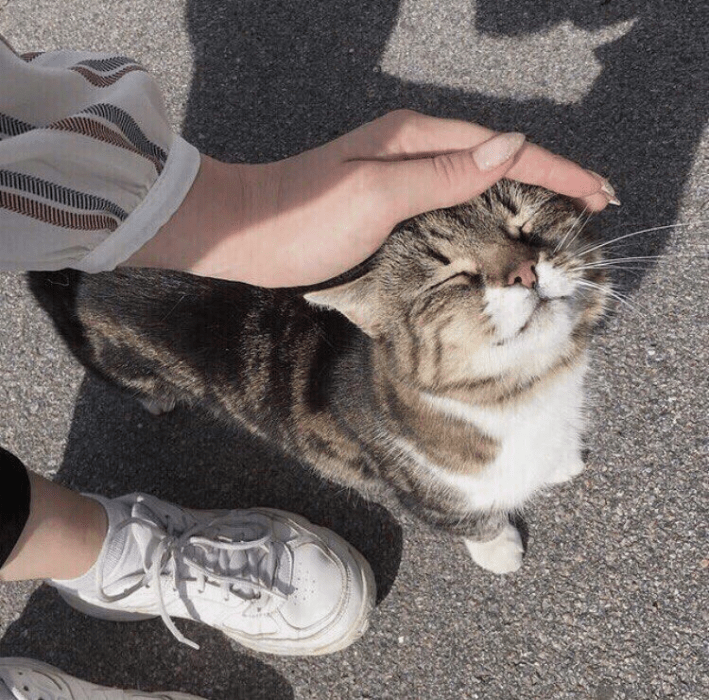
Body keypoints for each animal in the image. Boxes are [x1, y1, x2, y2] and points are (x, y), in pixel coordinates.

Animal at [29, 180, 608, 576]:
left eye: (524, 223)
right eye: (452, 276)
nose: (524, 272)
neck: (525, 390)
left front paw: (562, 462)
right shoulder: (424, 489)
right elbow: (469, 518)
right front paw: (500, 549)